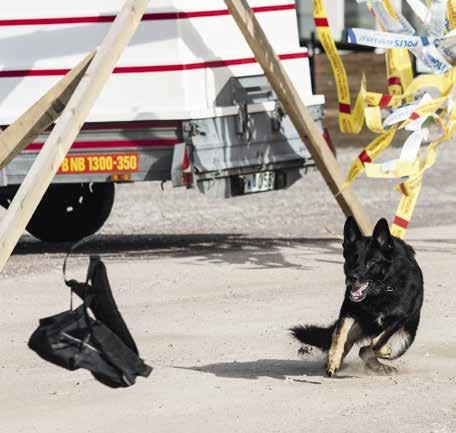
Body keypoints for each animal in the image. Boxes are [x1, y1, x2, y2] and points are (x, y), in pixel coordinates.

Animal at [292, 216, 424, 374]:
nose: (351, 278)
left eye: (371, 262)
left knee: (367, 349)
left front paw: (383, 348)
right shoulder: (348, 310)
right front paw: (333, 359)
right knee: (355, 347)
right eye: (352, 258)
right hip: (358, 326)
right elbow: (339, 334)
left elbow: (380, 338)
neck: (381, 289)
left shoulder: (398, 318)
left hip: (404, 340)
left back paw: (380, 364)